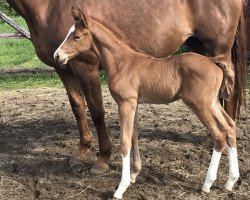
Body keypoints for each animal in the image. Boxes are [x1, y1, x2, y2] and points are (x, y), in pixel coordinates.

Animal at [5, 0, 246, 173]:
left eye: (77, 36)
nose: (58, 52)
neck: (47, 7)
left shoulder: (85, 66)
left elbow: (97, 111)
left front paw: (102, 158)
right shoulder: (62, 68)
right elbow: (78, 108)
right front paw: (82, 150)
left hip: (218, 49)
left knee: (228, 95)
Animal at [54, 8, 240, 199]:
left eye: (77, 36)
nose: (57, 55)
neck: (122, 63)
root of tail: (213, 62)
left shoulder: (125, 103)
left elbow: (125, 141)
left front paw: (121, 188)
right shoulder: (134, 103)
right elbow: (134, 135)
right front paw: (134, 174)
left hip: (200, 104)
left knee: (219, 134)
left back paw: (207, 184)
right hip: (213, 103)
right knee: (230, 126)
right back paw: (230, 181)